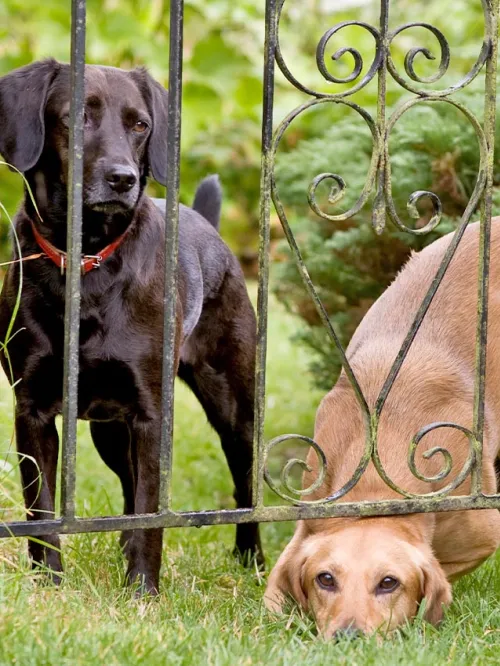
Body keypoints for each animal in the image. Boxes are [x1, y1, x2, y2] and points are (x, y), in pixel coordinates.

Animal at [0, 59, 264, 588]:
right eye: (75, 117)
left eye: (141, 125)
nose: (122, 178)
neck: (88, 262)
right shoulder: (32, 410)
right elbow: (43, 512)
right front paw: (51, 585)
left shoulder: (150, 414)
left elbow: (150, 510)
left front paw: (143, 589)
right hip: (108, 429)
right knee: (126, 484)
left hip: (235, 408)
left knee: (243, 485)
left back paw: (253, 558)